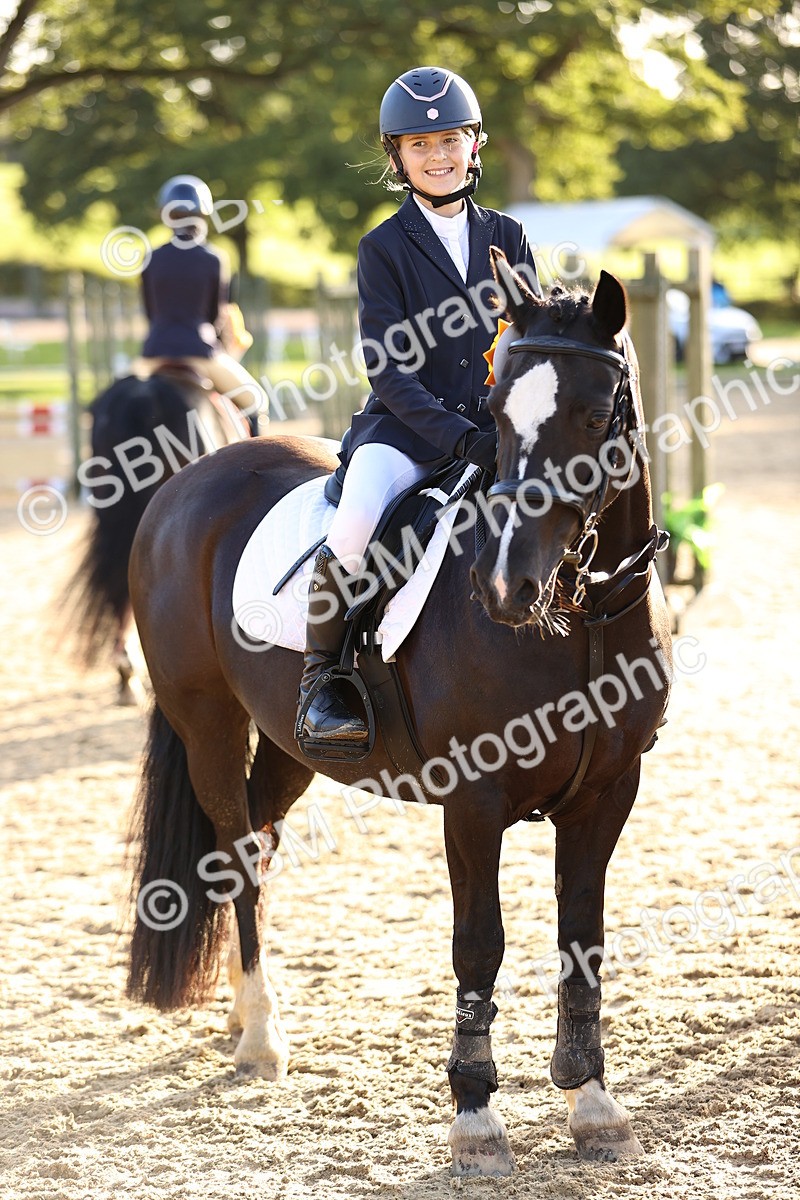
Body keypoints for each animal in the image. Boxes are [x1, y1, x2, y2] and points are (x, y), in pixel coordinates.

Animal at [125, 251, 672, 1175]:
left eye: (598, 414)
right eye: (495, 415)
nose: (506, 588)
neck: (583, 617)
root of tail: (187, 482)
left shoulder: (609, 792)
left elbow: (582, 937)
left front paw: (594, 1105)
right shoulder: (475, 801)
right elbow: (479, 942)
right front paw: (477, 1119)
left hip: (292, 747)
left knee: (262, 841)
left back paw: (240, 1009)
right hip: (206, 722)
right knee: (235, 855)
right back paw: (262, 1037)